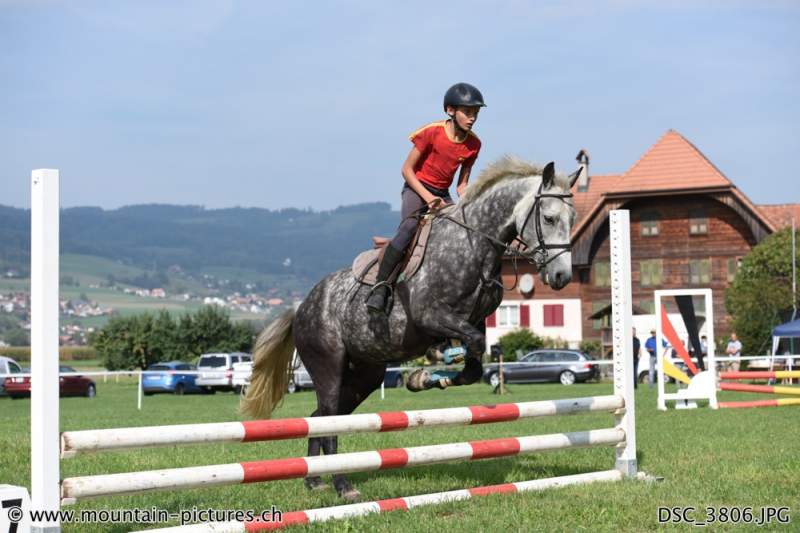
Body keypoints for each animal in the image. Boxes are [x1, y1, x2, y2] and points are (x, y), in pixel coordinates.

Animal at [241, 154, 580, 498]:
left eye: (572, 217)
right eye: (549, 218)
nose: (562, 276)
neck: (473, 245)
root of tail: (301, 307)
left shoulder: (473, 321)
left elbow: (473, 363)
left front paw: (425, 377)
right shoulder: (429, 315)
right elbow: (468, 344)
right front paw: (432, 366)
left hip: (366, 373)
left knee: (321, 417)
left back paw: (314, 479)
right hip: (328, 366)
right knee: (329, 418)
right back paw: (343, 485)